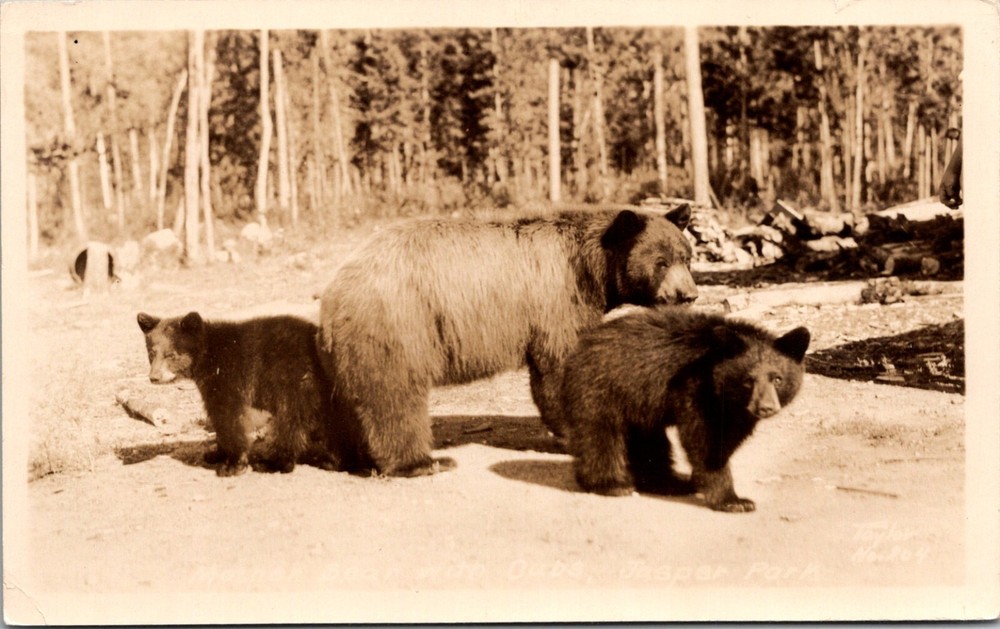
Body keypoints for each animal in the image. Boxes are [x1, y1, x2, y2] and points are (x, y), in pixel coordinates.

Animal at [137, 311, 351, 476]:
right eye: (151, 352)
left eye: (171, 355)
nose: (154, 377)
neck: (208, 358)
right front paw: (215, 454)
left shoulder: (228, 377)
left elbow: (228, 417)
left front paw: (232, 465)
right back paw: (334, 461)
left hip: (295, 382)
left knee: (290, 423)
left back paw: (272, 463)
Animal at [316, 205, 697, 478]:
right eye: (661, 262)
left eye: (686, 257)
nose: (688, 294)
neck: (589, 268)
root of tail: (335, 289)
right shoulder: (558, 300)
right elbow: (559, 367)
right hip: (399, 324)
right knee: (394, 396)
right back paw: (422, 462)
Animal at [561, 306, 810, 512]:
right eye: (748, 380)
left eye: (777, 379)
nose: (765, 407)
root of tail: (580, 346)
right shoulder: (695, 389)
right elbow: (705, 441)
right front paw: (733, 500)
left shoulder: (735, 410)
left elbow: (727, 439)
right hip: (603, 386)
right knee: (600, 434)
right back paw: (611, 484)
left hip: (640, 404)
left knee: (650, 442)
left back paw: (667, 483)